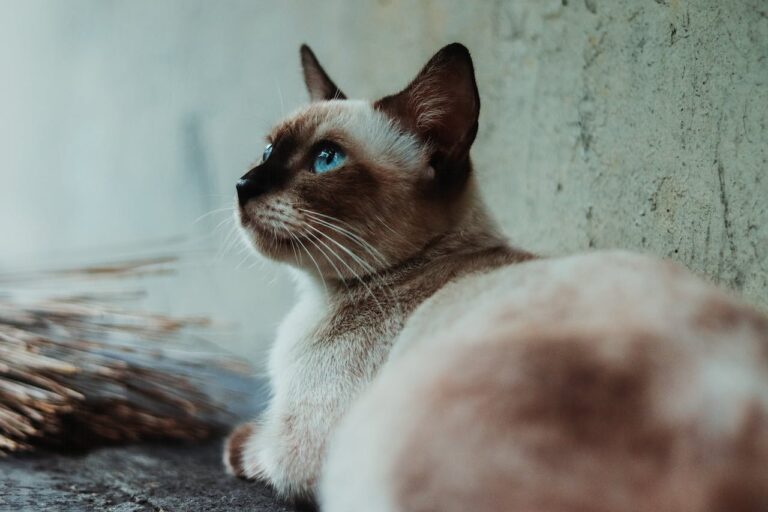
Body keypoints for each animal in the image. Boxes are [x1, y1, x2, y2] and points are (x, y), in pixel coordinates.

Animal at [225, 45, 768, 512]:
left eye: (326, 159)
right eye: (268, 150)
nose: (242, 184)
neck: (318, 298)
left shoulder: (301, 451)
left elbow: (253, 447)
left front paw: (235, 446)